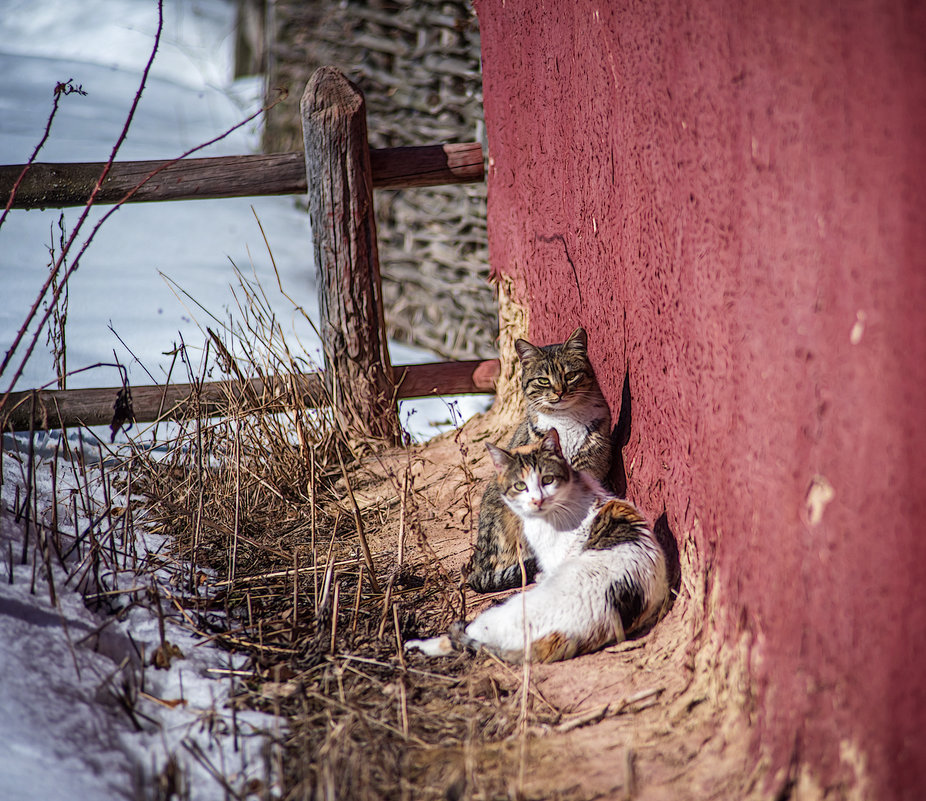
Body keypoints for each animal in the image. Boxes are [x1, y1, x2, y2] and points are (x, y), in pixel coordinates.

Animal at [406, 432, 668, 664]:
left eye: (547, 480)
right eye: (520, 486)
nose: (537, 500)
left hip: (501, 613)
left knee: (458, 640)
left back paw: (414, 645)